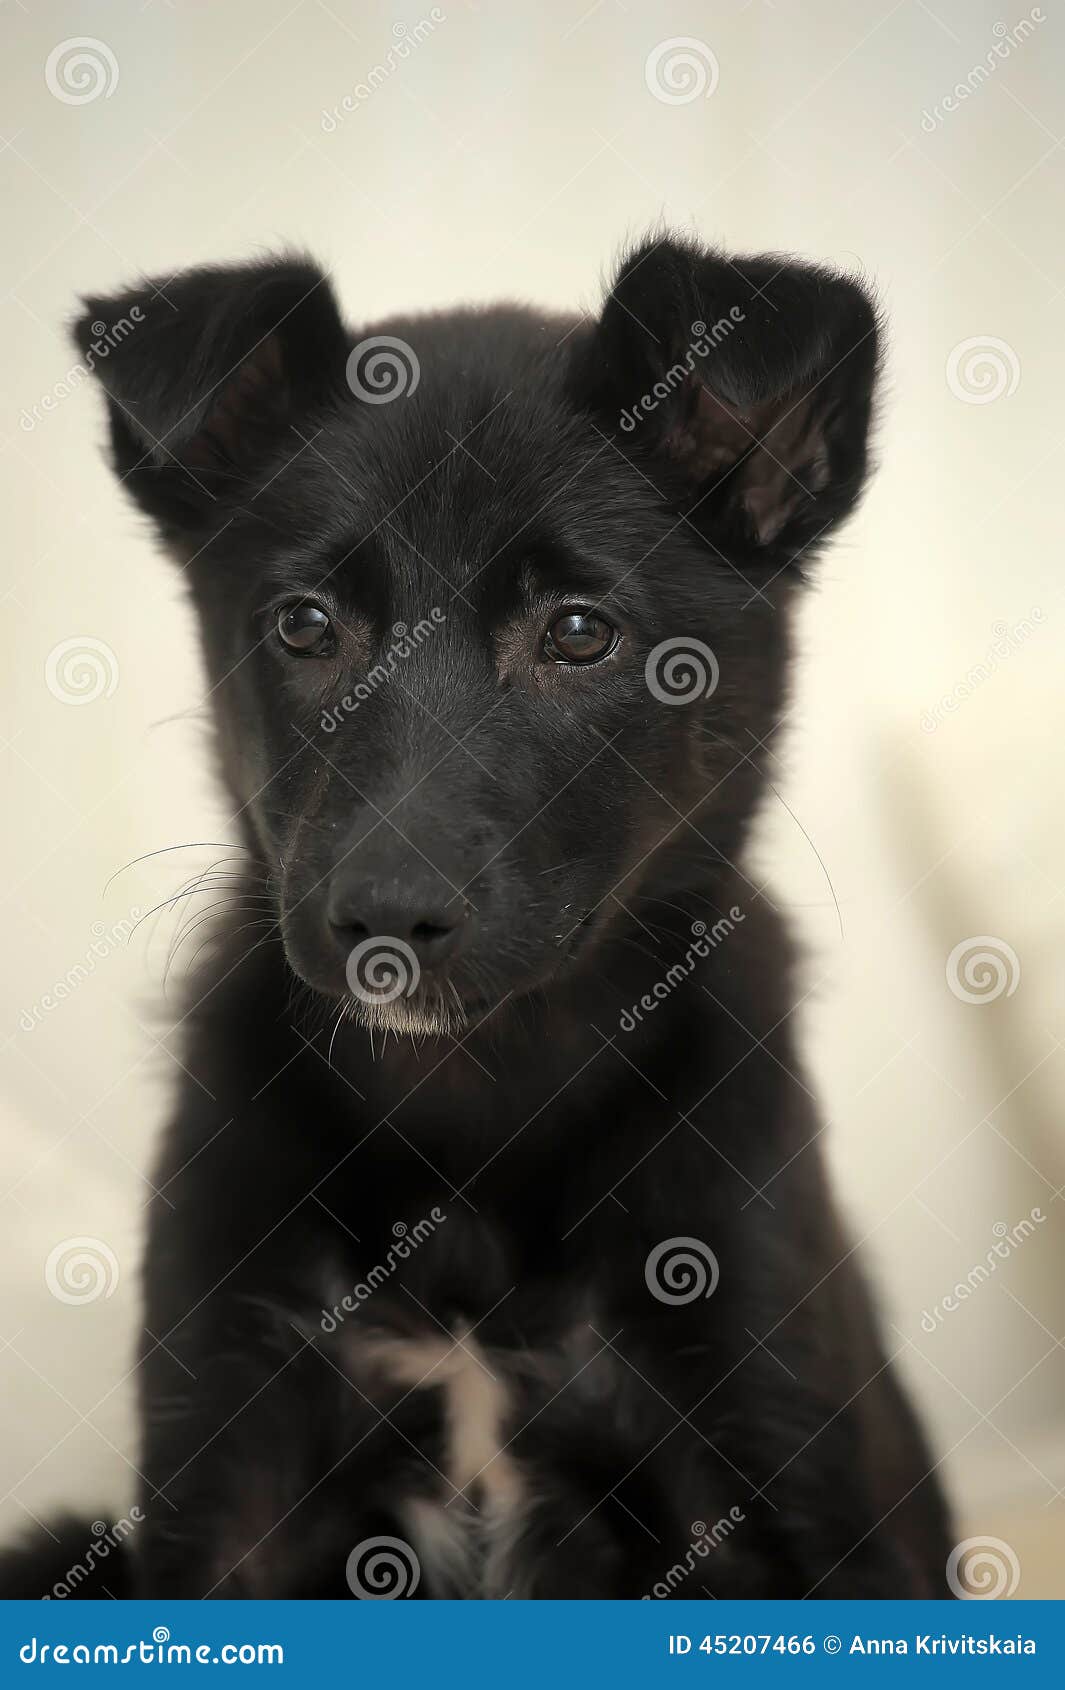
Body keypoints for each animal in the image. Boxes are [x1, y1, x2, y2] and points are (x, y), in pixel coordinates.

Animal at [2, 238, 953, 1595]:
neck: (477, 1088)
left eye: (578, 633)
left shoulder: (782, 1476)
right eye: (304, 624)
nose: (387, 921)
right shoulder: (224, 1462)